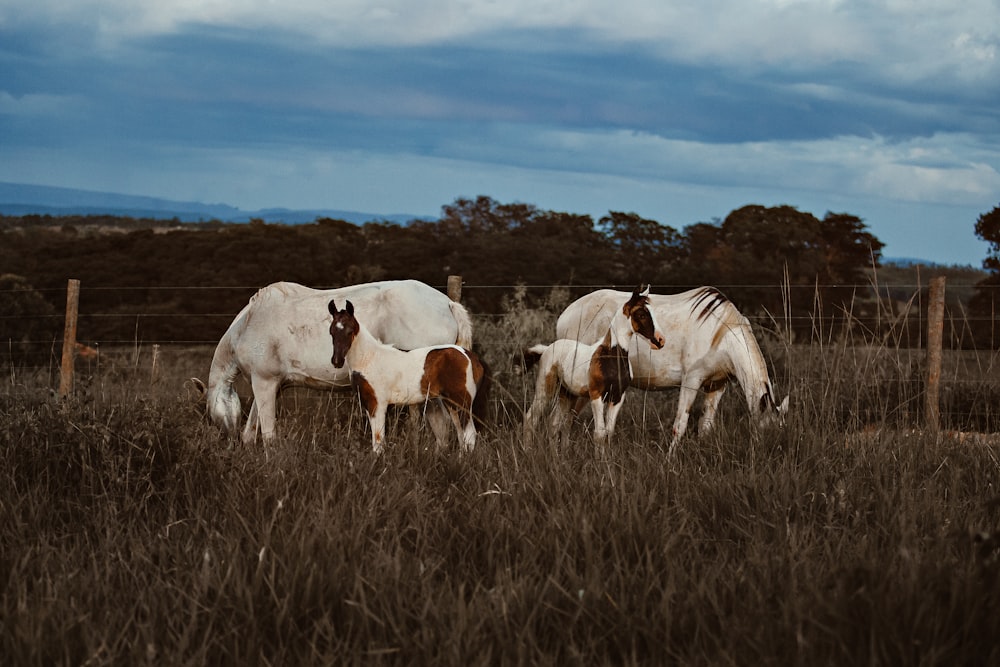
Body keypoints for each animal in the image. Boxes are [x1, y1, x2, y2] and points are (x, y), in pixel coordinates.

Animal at [200, 280, 476, 446]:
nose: (227, 440)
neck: (248, 323)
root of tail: (447, 303)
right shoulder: (270, 386)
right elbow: (252, 429)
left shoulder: (264, 382)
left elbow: (268, 433)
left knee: (444, 426)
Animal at [328, 302, 488, 454]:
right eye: (331, 332)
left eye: (350, 331)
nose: (336, 361)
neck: (368, 358)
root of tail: (471, 357)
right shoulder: (368, 403)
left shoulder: (378, 403)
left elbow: (378, 440)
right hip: (452, 403)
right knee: (461, 435)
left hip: (462, 402)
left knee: (469, 434)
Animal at [560, 284, 784, 456]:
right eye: (766, 432)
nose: (772, 455)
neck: (720, 332)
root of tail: (565, 315)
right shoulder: (691, 381)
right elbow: (680, 425)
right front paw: (670, 460)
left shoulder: (717, 385)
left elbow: (705, 426)